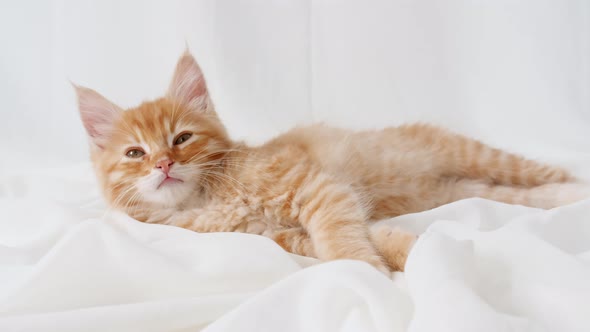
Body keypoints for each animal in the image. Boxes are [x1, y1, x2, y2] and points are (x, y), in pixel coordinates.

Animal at [76, 50, 588, 274]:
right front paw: (398, 252)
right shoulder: (277, 236)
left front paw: (365, 270)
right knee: (521, 194)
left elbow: (339, 238)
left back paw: (577, 192)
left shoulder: (316, 187)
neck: (207, 198)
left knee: (550, 173)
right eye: (135, 154)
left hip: (477, 155)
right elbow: (351, 239)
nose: (163, 164)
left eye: (181, 139)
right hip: (463, 189)